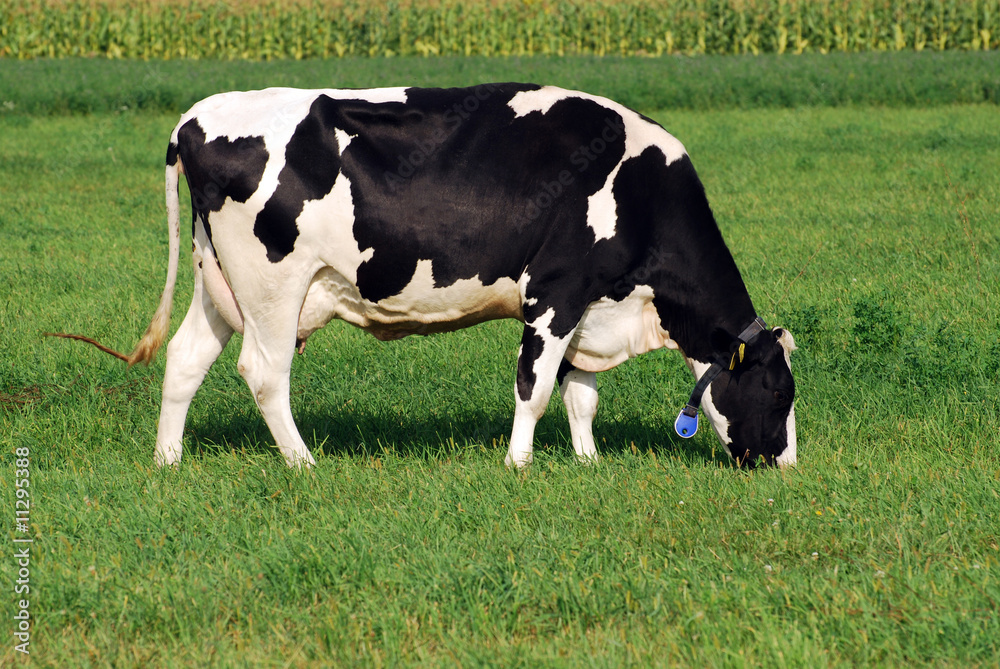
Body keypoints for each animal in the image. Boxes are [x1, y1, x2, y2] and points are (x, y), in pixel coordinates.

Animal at [84, 85, 796, 470]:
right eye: (779, 392)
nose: (785, 465)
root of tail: (197, 115)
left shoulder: (590, 307)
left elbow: (581, 393)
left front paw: (588, 461)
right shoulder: (555, 291)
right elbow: (535, 388)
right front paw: (518, 464)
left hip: (218, 281)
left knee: (184, 360)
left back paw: (168, 462)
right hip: (271, 286)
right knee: (263, 373)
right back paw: (304, 463)